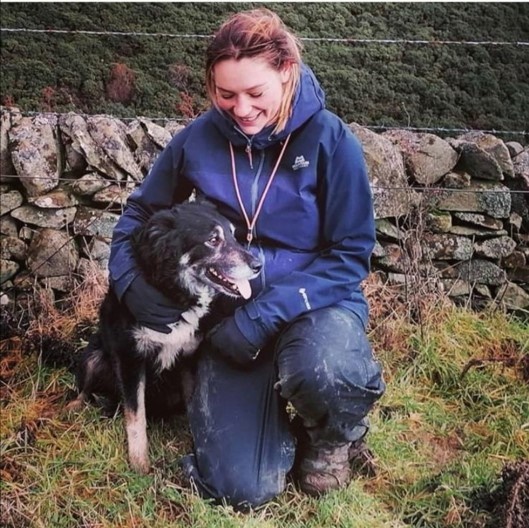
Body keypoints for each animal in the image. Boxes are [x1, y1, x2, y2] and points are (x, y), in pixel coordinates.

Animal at [69, 202, 260, 474]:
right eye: (213, 240)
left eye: (234, 235)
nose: (258, 265)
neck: (174, 295)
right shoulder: (130, 358)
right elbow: (136, 417)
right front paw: (139, 464)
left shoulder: (188, 358)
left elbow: (192, 407)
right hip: (93, 358)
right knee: (85, 389)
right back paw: (74, 407)